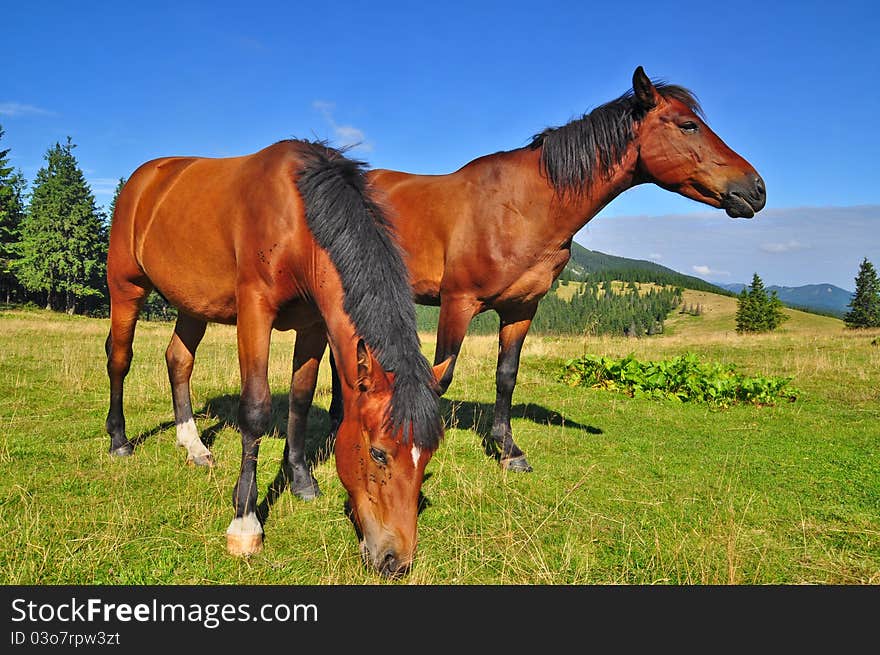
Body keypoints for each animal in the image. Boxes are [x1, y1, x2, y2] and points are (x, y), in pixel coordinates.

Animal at [106, 141, 450, 576]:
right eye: (378, 453)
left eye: (427, 457)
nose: (396, 561)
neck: (299, 217)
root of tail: (144, 178)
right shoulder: (254, 311)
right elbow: (255, 408)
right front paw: (244, 524)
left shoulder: (314, 325)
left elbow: (300, 400)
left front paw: (301, 480)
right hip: (125, 286)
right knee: (119, 358)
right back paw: (119, 440)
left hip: (192, 303)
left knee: (178, 359)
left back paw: (193, 445)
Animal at [324, 66, 764, 476]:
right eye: (688, 125)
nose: (756, 189)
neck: (521, 207)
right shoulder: (457, 302)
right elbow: (441, 376)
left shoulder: (522, 309)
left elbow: (506, 375)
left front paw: (507, 450)